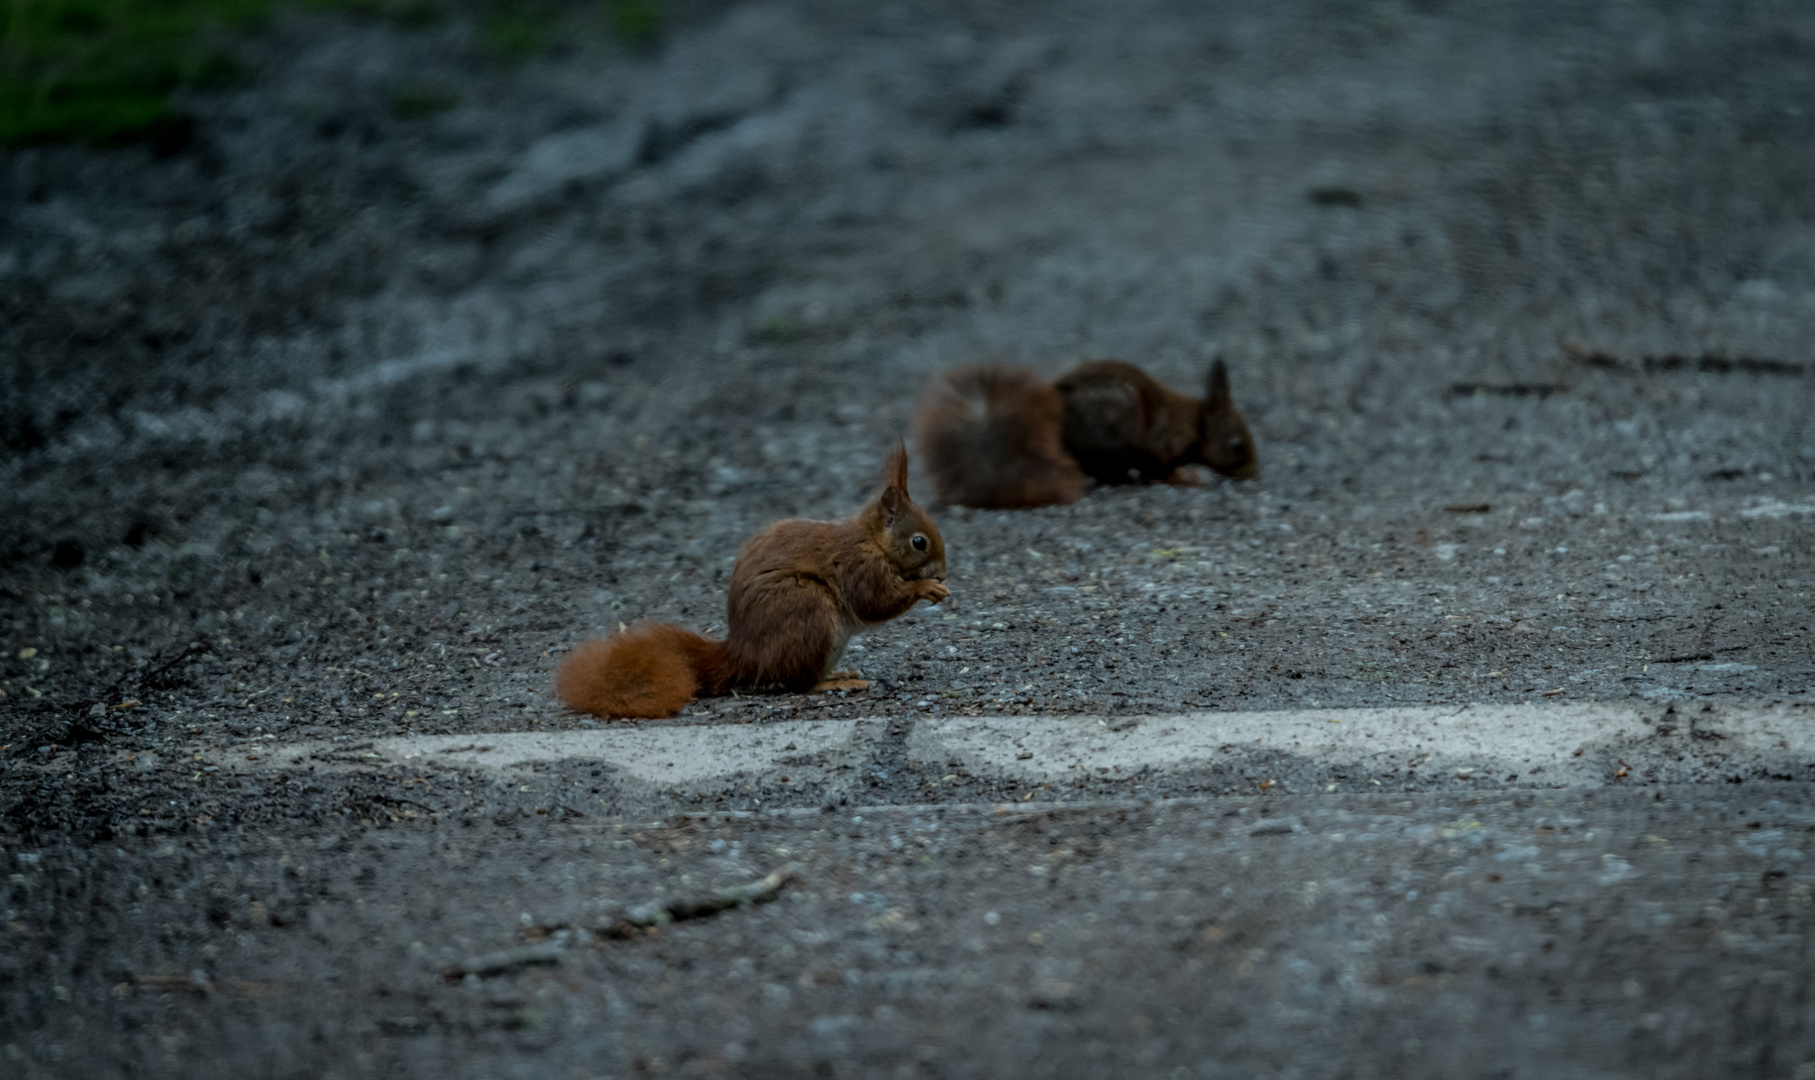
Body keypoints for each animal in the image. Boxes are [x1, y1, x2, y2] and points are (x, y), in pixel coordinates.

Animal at [551, 442, 951, 722]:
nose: (944, 573)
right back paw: (835, 683)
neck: (872, 540)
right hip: (806, 610)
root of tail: (745, 655)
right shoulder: (859, 565)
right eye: (919, 542)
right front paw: (925, 588)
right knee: (798, 683)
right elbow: (875, 601)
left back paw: (839, 672)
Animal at [914, 355, 1255, 508]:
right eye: (1238, 444)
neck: (1192, 422)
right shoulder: (1162, 445)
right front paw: (1189, 478)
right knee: (1108, 472)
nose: (1253, 473)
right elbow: (1162, 469)